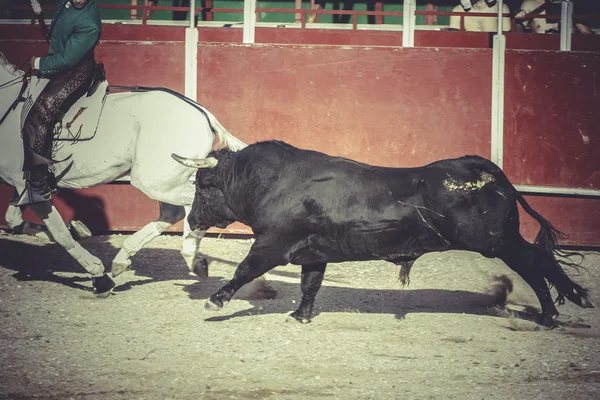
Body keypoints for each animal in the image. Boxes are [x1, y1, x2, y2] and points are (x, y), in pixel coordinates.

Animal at [0, 52, 274, 296]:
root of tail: (203, 114)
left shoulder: (32, 188)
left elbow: (60, 235)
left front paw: (98, 277)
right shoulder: (22, 187)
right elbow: (15, 220)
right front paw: (78, 230)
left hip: (153, 180)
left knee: (192, 205)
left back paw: (192, 256)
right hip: (163, 179)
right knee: (173, 212)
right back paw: (125, 259)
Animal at [173, 141, 596, 324]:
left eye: (202, 183)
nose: (191, 222)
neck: (271, 181)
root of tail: (482, 167)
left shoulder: (271, 245)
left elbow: (244, 270)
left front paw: (215, 301)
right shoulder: (314, 253)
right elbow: (310, 285)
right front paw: (300, 316)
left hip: (496, 242)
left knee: (535, 261)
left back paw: (552, 312)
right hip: (500, 241)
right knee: (536, 261)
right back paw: (555, 309)